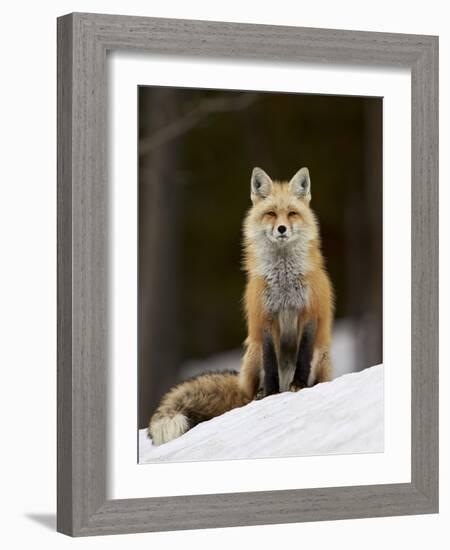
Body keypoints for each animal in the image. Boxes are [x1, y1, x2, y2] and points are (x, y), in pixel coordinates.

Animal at [146, 166, 332, 446]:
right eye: (270, 214)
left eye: (291, 213)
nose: (281, 229)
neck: (284, 280)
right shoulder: (264, 319)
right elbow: (270, 363)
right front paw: (272, 394)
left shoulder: (309, 314)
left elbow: (303, 356)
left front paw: (298, 385)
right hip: (252, 353)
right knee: (251, 389)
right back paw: (259, 394)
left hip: (322, 355)